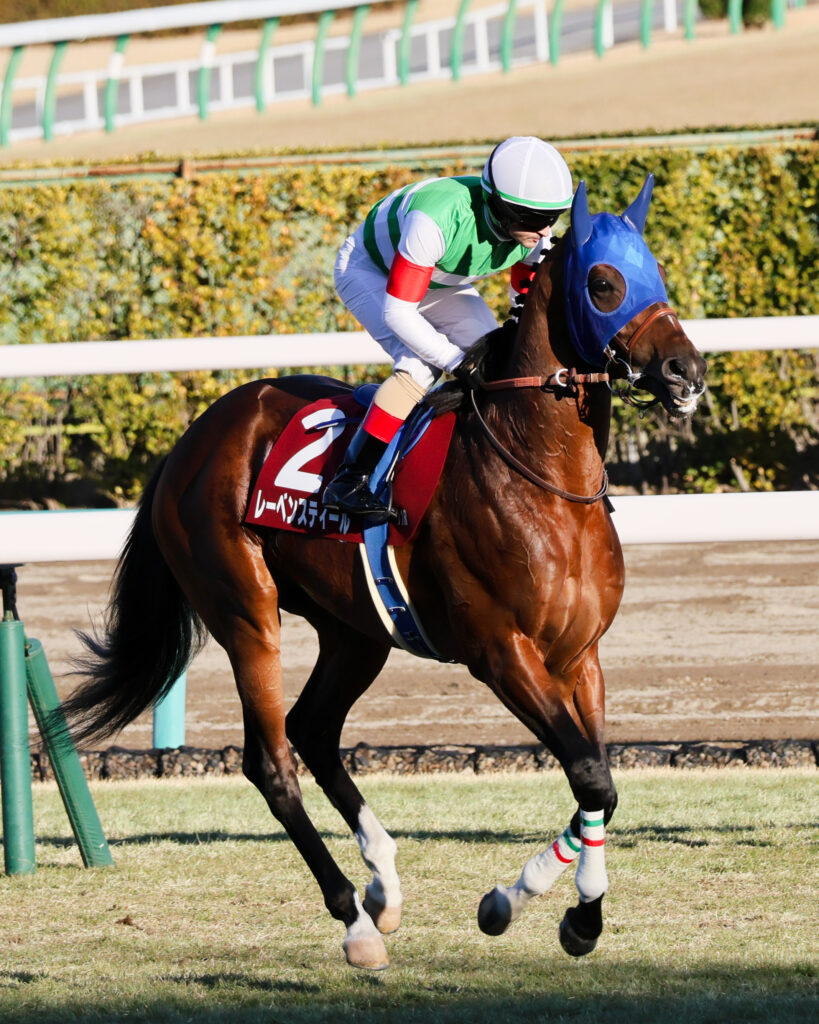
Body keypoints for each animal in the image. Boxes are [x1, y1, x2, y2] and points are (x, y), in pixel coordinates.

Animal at [61, 176, 706, 971]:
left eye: (657, 277)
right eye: (604, 284)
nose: (686, 372)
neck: (542, 478)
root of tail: (192, 439)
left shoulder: (580, 656)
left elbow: (599, 786)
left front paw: (568, 914)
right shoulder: (503, 654)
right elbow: (590, 775)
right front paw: (523, 904)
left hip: (354, 630)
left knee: (312, 730)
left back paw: (384, 884)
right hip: (246, 612)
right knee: (271, 761)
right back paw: (354, 920)